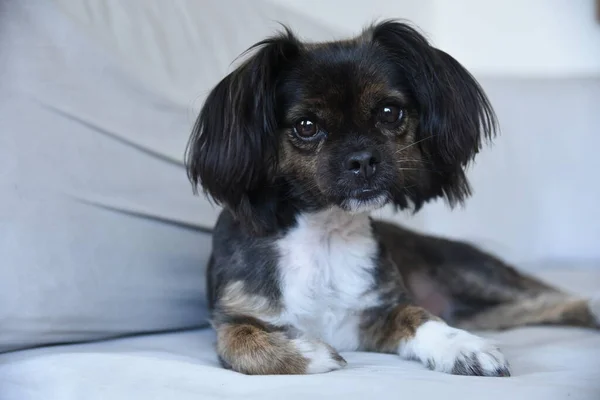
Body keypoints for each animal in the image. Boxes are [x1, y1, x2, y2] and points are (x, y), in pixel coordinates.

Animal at [185, 21, 596, 378]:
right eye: (306, 126)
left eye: (389, 112)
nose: (363, 160)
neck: (325, 234)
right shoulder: (230, 317)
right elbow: (239, 341)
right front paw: (310, 353)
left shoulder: (379, 312)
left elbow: (418, 315)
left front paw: (462, 347)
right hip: (485, 308)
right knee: (540, 306)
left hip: (475, 277)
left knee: (548, 296)